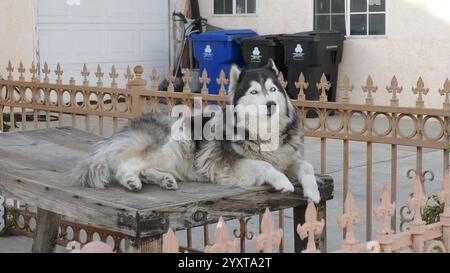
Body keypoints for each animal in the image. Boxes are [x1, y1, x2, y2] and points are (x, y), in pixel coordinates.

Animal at [71, 60, 320, 203]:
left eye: (273, 89)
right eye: (254, 92)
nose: (271, 104)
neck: (263, 132)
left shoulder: (288, 157)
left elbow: (307, 166)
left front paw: (313, 191)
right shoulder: (227, 165)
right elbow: (265, 166)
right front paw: (283, 182)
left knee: (142, 167)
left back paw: (163, 180)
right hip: (172, 145)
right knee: (123, 165)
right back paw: (131, 181)